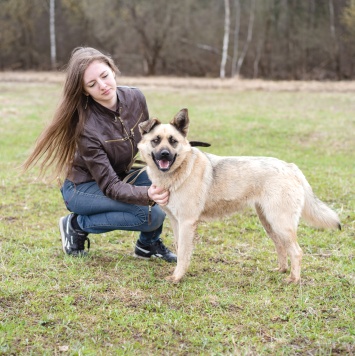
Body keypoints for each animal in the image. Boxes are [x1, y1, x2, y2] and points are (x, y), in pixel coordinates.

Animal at [138, 108, 342, 284]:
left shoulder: (187, 223)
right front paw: (180, 273)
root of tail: (291, 167)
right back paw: (281, 270)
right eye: (156, 140)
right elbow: (181, 250)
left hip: (280, 223)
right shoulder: (176, 222)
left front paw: (177, 277)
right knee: (281, 247)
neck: (179, 172)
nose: (165, 154)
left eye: (173, 141)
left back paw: (294, 279)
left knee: (297, 251)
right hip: (269, 223)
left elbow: (183, 254)